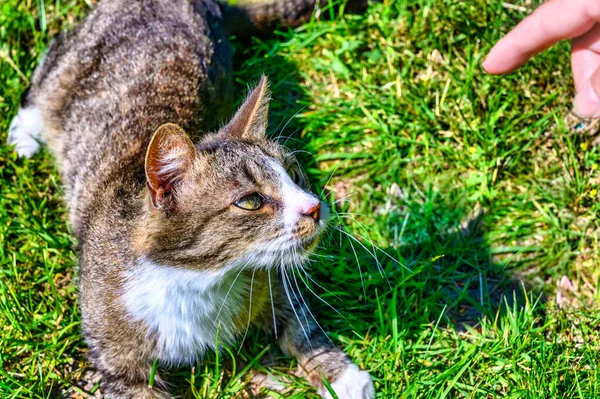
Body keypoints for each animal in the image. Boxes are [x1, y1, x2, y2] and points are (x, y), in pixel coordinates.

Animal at [7, 0, 376, 399]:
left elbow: (299, 321)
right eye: (250, 201)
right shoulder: (118, 357)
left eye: (293, 173)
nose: (314, 206)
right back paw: (25, 134)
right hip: (71, 64)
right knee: (48, 72)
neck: (197, 281)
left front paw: (340, 374)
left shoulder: (271, 278)